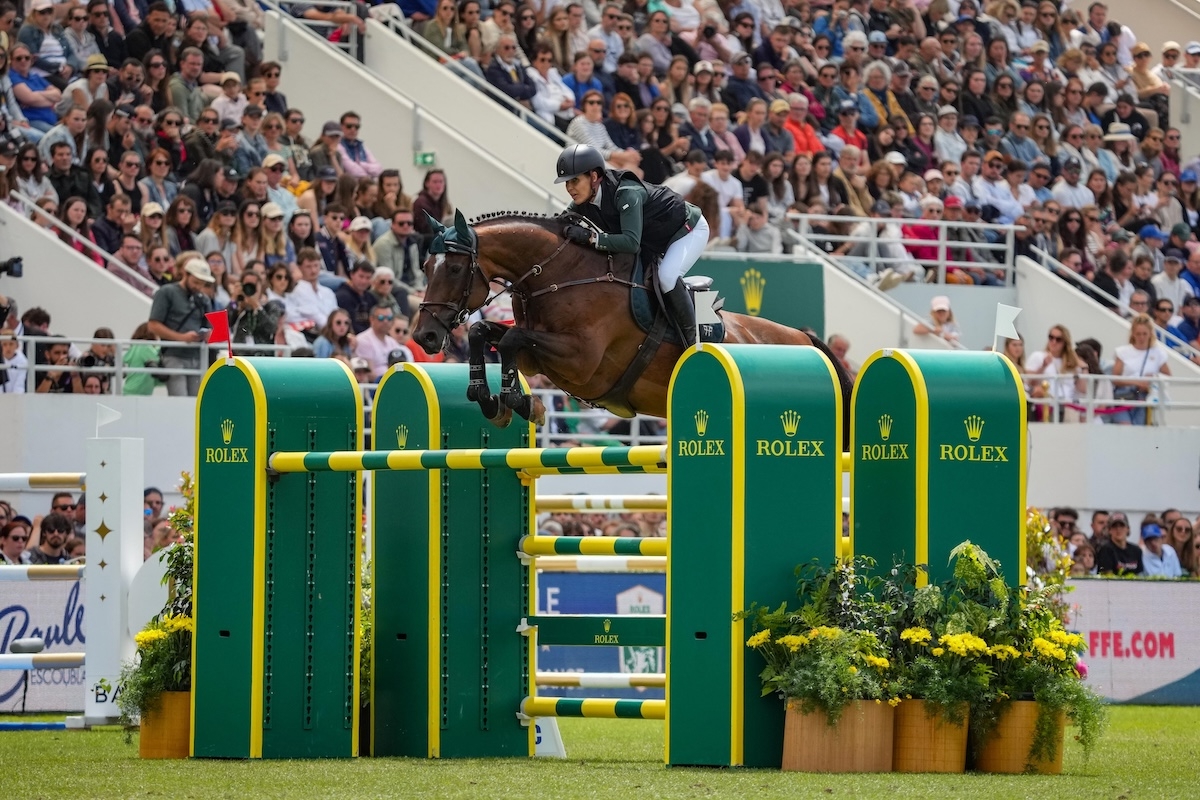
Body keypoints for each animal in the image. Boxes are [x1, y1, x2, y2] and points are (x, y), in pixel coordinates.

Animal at [412, 206, 854, 434]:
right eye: (425, 266)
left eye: (454, 269)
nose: (426, 336)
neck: (560, 273)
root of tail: (804, 338)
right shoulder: (543, 358)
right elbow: (484, 332)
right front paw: (490, 400)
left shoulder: (579, 359)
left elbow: (508, 341)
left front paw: (521, 403)